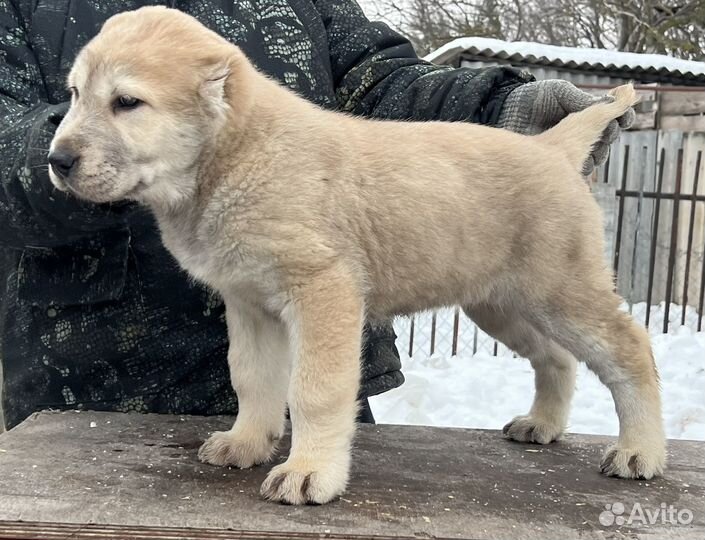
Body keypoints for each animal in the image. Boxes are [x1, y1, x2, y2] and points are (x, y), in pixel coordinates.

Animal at [49, 6, 664, 504]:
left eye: (127, 102)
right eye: (74, 95)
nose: (55, 160)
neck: (239, 153)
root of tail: (551, 147)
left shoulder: (324, 292)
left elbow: (314, 390)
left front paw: (309, 473)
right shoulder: (250, 303)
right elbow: (251, 378)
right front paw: (246, 442)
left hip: (563, 291)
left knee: (629, 350)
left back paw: (641, 452)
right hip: (502, 303)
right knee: (555, 357)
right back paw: (542, 424)